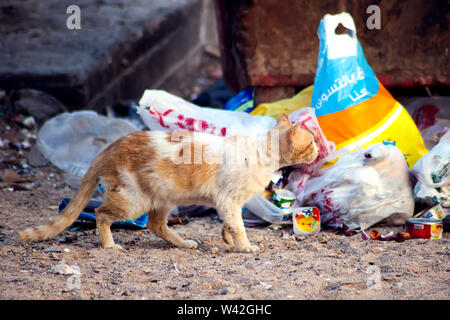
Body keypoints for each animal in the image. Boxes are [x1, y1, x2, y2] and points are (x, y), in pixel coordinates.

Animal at [18, 115, 320, 252]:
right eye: (312, 142)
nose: (319, 149)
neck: (261, 153)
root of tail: (108, 149)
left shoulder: (227, 203)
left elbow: (230, 225)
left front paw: (227, 238)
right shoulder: (229, 200)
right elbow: (239, 227)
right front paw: (245, 247)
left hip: (161, 199)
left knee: (156, 225)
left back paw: (183, 243)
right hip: (132, 200)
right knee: (101, 214)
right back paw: (110, 245)